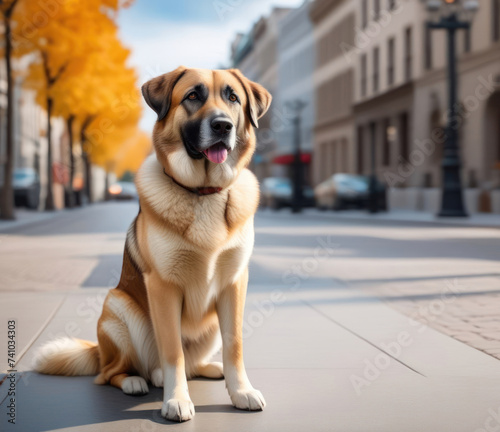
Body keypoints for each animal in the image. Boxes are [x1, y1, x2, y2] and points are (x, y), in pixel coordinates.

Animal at [34, 67, 274, 422]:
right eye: (192, 96)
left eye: (233, 97)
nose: (222, 125)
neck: (203, 192)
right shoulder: (163, 287)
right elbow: (172, 350)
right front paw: (176, 400)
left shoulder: (234, 283)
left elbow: (235, 345)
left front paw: (241, 391)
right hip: (118, 309)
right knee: (111, 372)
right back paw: (136, 380)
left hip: (210, 325)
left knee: (190, 364)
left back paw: (206, 368)